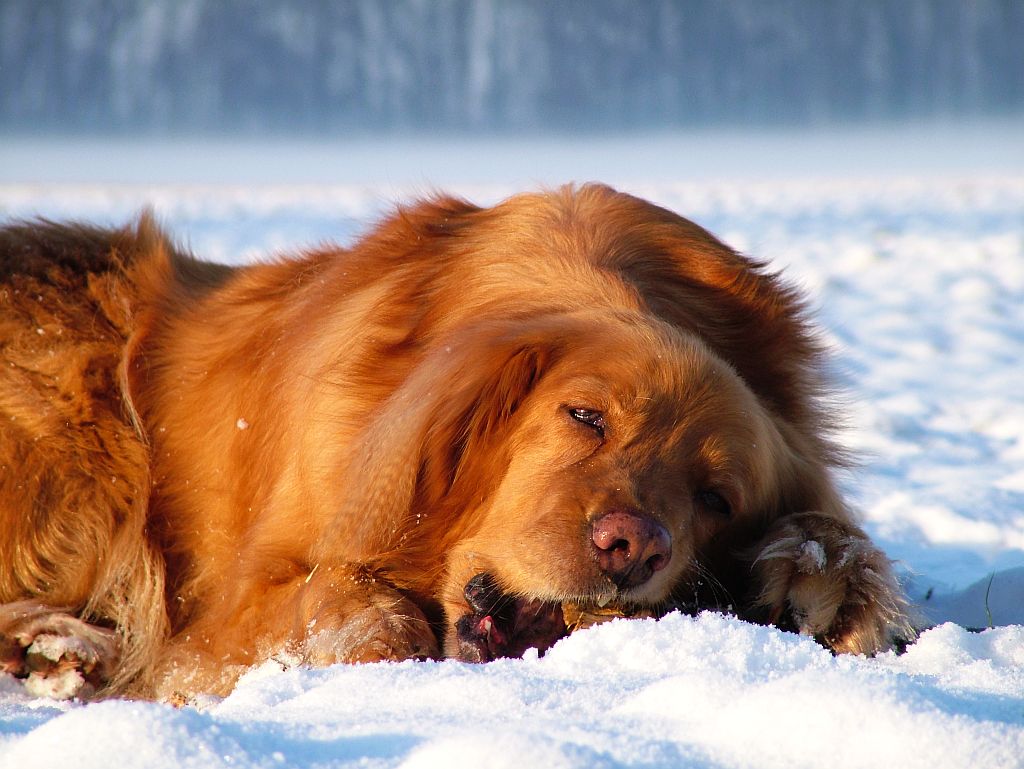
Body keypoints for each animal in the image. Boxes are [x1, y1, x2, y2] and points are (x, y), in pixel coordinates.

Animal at [0, 183, 913, 700]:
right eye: (586, 417)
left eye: (716, 498)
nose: (631, 544)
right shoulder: (226, 608)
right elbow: (353, 605)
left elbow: (838, 535)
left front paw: (822, 578)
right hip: (77, 459)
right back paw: (56, 644)